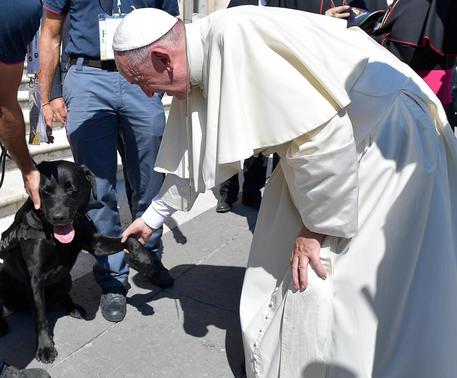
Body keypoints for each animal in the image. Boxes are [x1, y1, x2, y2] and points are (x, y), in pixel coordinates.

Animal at [0, 159, 171, 364]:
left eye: (72, 190)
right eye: (44, 191)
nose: (58, 217)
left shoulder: (95, 243)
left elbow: (128, 239)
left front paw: (145, 259)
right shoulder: (35, 278)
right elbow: (40, 316)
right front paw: (45, 347)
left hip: (65, 278)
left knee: (63, 296)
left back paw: (74, 308)